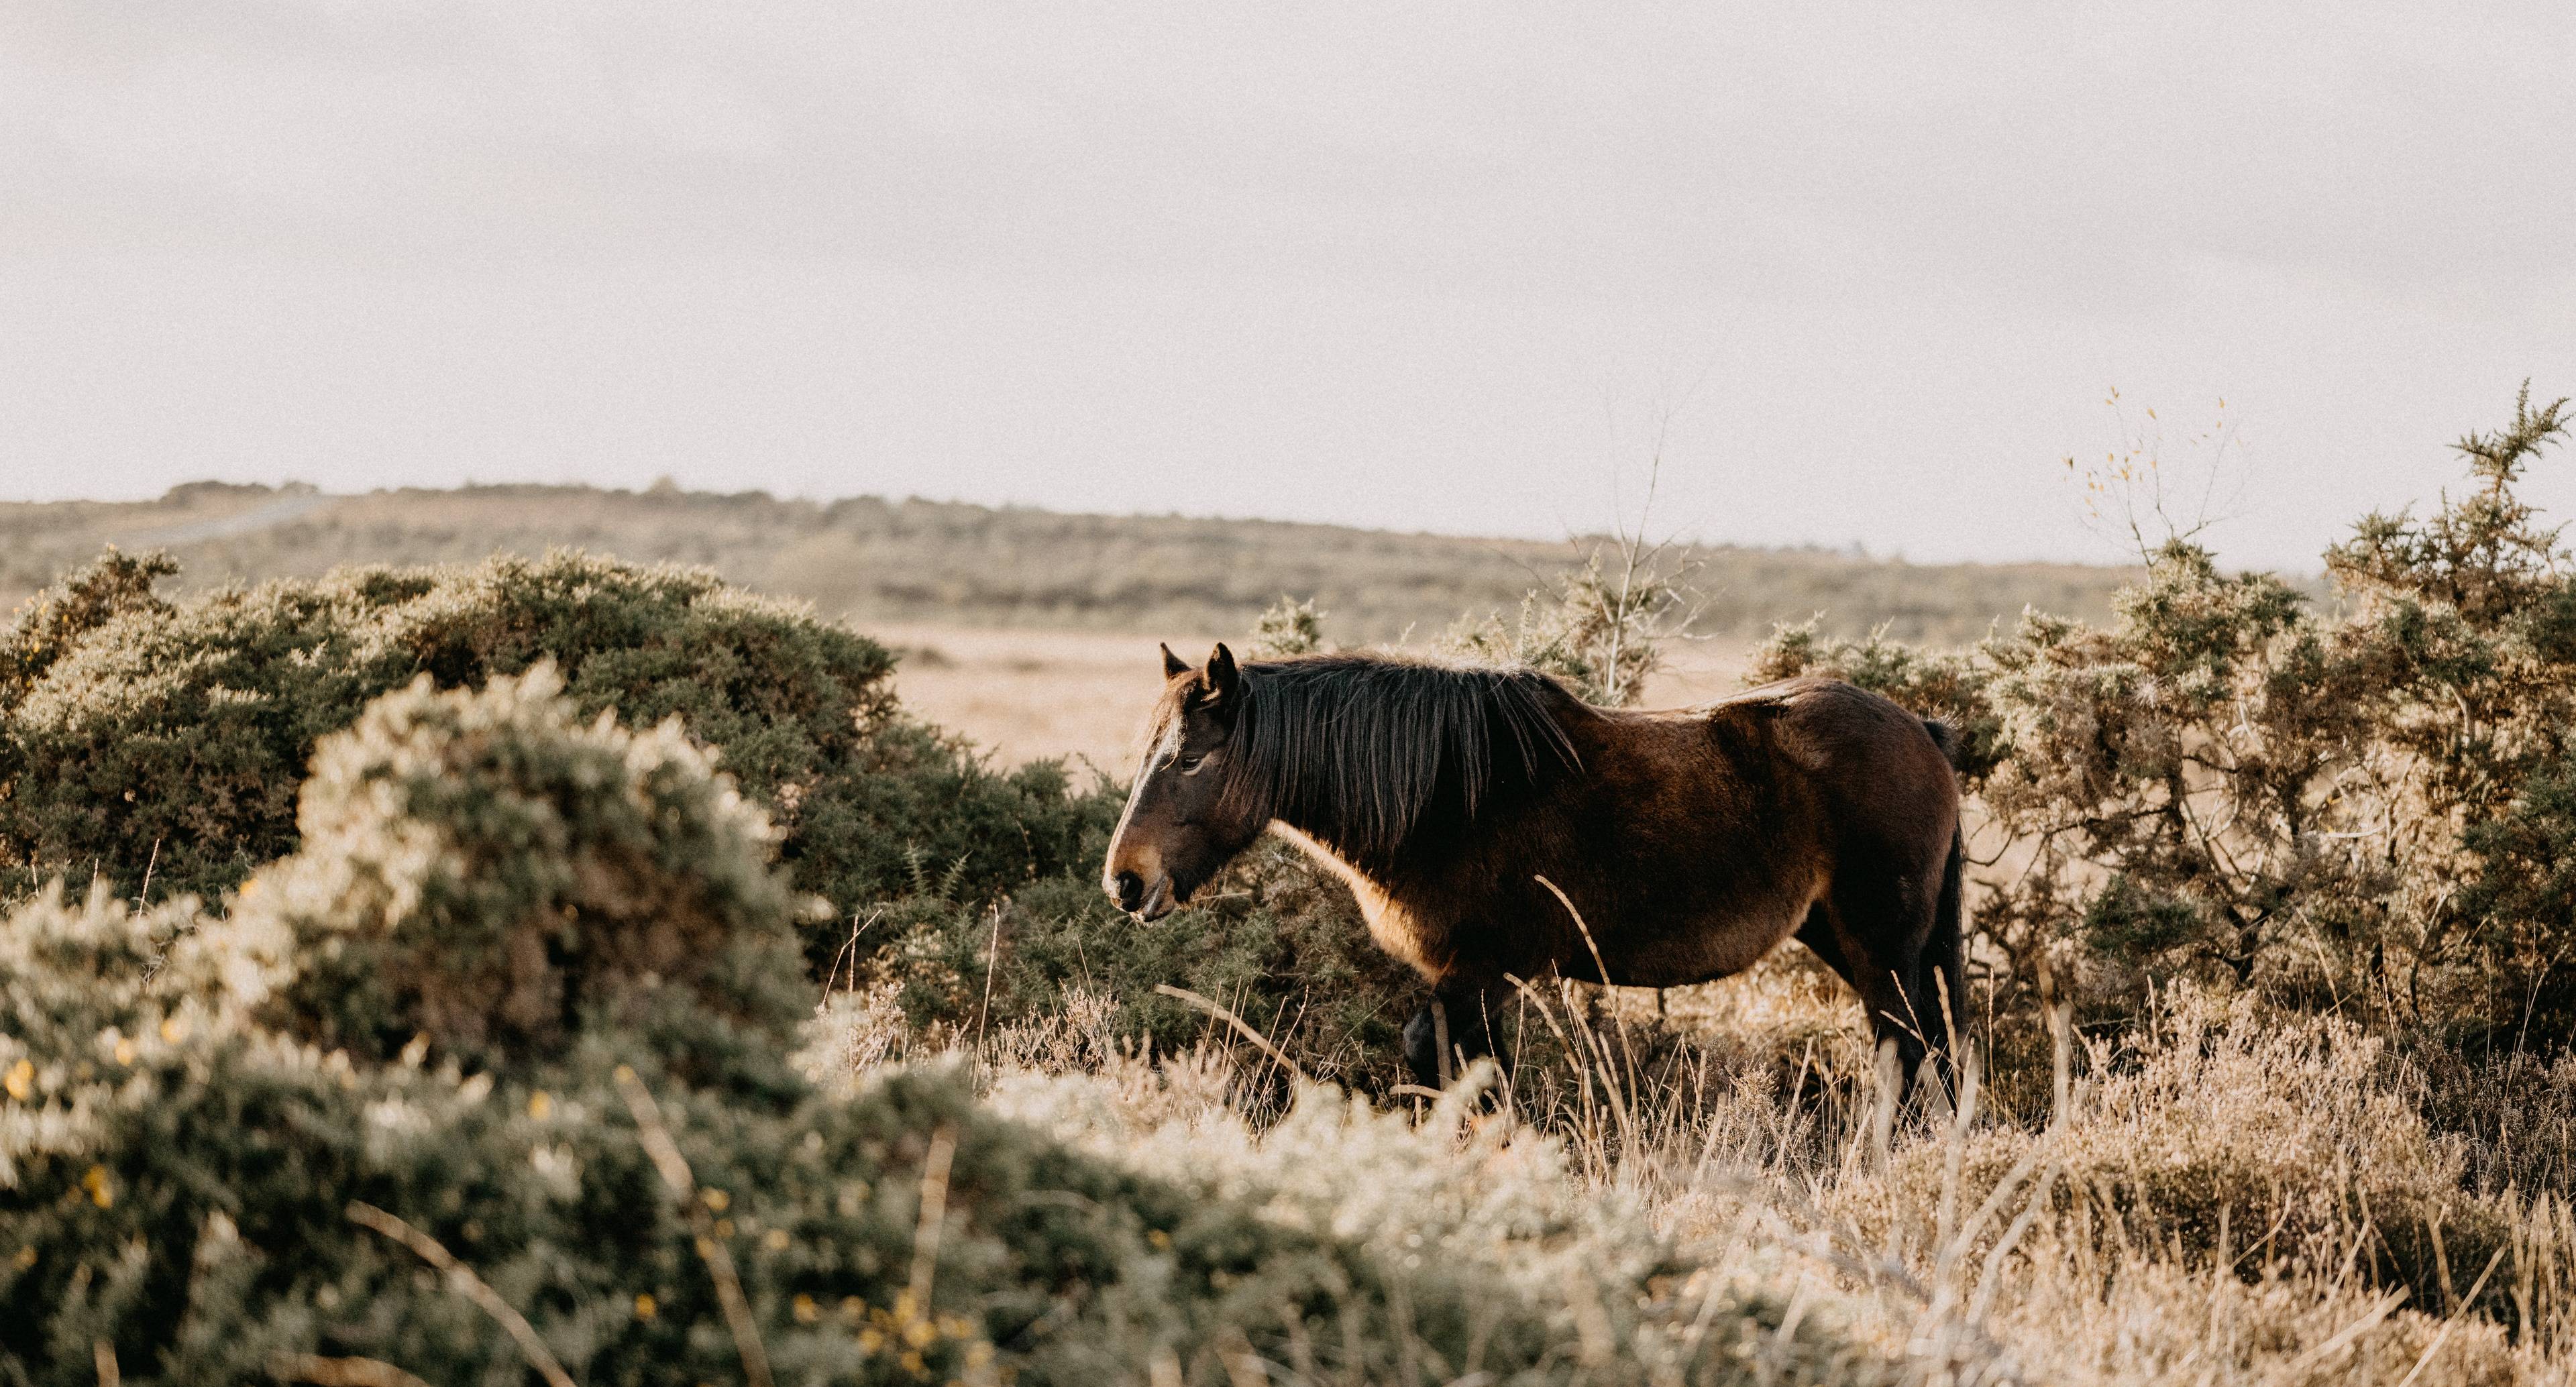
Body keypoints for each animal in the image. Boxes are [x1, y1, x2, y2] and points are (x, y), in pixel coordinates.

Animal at [1097, 648, 1957, 1096]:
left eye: (1193, 758)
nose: (1125, 880)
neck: (1445, 796)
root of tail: (1924, 729)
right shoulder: (1472, 978)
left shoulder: (1482, 969)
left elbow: (1452, 1060)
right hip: (1846, 939)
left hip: (1879, 946)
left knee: (1906, 1048)